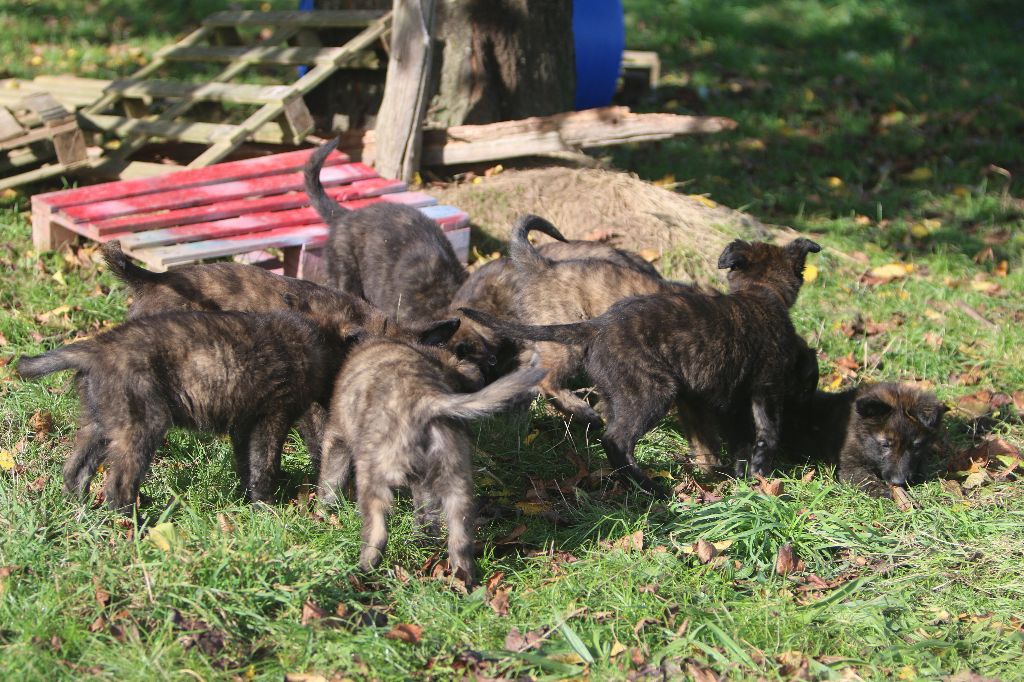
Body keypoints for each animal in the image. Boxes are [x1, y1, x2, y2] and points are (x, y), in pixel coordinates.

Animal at [18, 311, 378, 507]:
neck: (318, 344)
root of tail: (96, 348)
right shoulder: (272, 416)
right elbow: (265, 464)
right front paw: (266, 506)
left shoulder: (245, 423)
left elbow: (248, 464)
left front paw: (249, 500)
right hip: (142, 424)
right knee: (119, 484)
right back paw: (132, 524)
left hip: (99, 423)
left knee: (75, 471)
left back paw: (80, 512)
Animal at [319, 337, 548, 581]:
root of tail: (426, 399)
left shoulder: (336, 436)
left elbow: (330, 481)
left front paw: (321, 511)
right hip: (454, 479)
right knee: (454, 534)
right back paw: (457, 573)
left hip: (374, 475)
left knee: (378, 530)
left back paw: (363, 569)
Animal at [464, 236, 823, 491]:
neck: (760, 294)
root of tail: (596, 326)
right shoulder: (765, 388)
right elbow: (766, 433)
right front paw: (757, 475)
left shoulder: (709, 398)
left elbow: (716, 440)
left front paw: (721, 471)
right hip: (650, 389)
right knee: (609, 435)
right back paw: (648, 486)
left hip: (615, 385)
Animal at [782, 382, 950, 493]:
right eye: (885, 445)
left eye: (916, 446)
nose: (899, 482)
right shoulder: (851, 465)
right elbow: (866, 479)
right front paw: (883, 492)